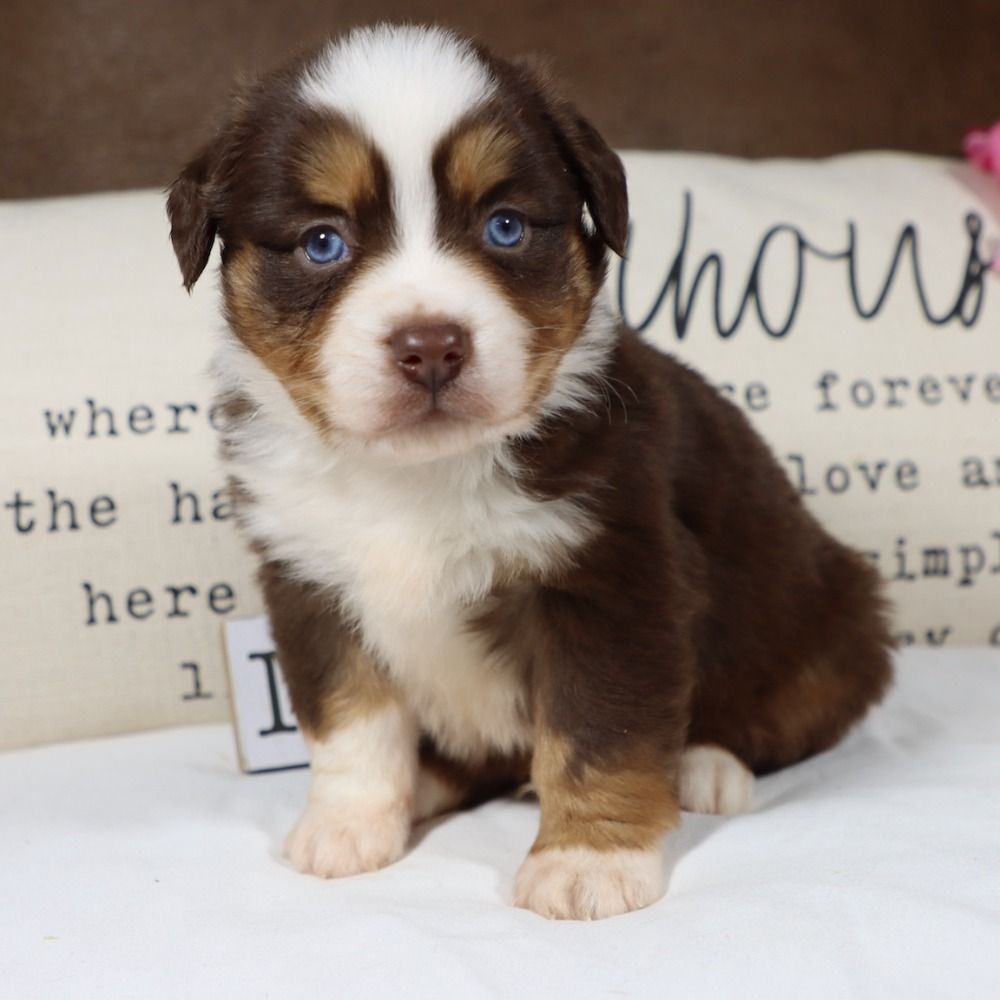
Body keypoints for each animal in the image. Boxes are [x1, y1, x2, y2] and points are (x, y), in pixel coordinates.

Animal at [168, 23, 896, 924]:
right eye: (322, 241)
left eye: (505, 227)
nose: (431, 347)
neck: (418, 477)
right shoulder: (309, 578)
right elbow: (350, 719)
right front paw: (345, 828)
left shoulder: (611, 573)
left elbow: (598, 730)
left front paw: (588, 861)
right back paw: (429, 783)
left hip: (837, 622)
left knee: (781, 715)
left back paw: (705, 767)